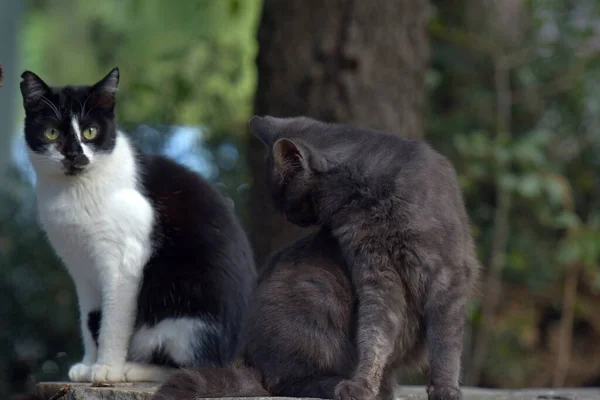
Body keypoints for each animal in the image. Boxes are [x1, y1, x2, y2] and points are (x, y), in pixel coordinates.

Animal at [19, 69, 255, 384]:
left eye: (90, 131)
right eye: (52, 132)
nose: (75, 155)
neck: (74, 191)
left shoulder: (123, 261)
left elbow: (112, 321)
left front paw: (106, 369)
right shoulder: (81, 269)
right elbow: (90, 320)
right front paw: (88, 364)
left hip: (186, 319)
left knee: (195, 366)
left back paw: (135, 368)